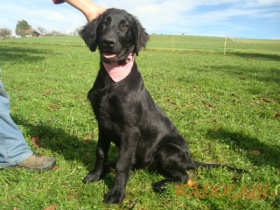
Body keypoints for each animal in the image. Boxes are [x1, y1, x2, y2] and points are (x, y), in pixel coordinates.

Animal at [79, 8, 243, 205]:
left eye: (125, 26)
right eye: (104, 23)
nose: (108, 41)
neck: (113, 79)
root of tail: (189, 159)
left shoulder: (130, 130)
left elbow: (122, 163)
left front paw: (117, 193)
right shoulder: (103, 124)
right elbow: (101, 153)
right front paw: (96, 176)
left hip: (166, 151)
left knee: (184, 176)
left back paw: (162, 184)